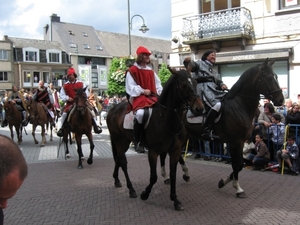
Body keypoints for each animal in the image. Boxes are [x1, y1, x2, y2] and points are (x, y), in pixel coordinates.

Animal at [106, 68, 204, 211]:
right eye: (183, 85)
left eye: (196, 82)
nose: (200, 108)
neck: (166, 119)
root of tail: (113, 109)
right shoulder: (153, 152)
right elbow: (153, 177)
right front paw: (145, 194)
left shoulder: (174, 150)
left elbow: (173, 173)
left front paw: (175, 200)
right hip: (119, 141)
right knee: (123, 162)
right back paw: (131, 189)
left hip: (124, 142)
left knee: (118, 158)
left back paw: (117, 180)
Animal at [184, 59, 284, 198]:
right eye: (269, 78)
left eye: (276, 77)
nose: (281, 100)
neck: (239, 105)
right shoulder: (235, 142)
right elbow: (237, 165)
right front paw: (237, 188)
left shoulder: (239, 142)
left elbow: (238, 165)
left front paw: (223, 182)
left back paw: (184, 175)